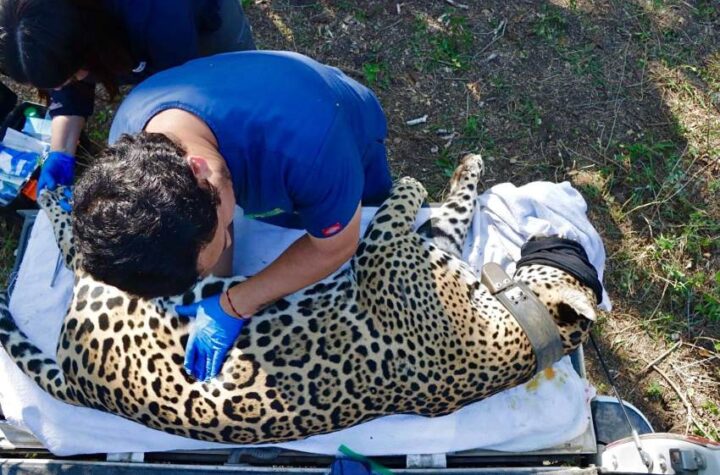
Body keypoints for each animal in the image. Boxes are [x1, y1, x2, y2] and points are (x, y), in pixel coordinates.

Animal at [0, 154, 597, 444]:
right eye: (569, 249)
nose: (562, 235)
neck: (521, 323)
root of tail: (82, 387)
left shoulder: (381, 253)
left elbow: (400, 204)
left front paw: (407, 182)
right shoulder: (431, 247)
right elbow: (456, 208)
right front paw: (465, 169)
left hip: (136, 287)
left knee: (79, 253)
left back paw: (59, 196)